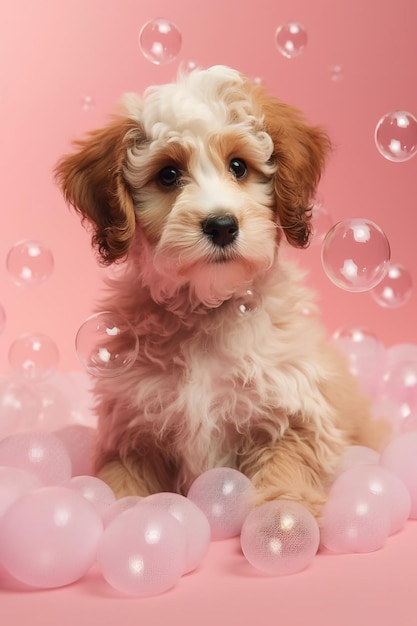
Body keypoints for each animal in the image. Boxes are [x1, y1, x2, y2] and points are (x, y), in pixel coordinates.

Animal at [56, 66, 386, 520]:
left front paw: (282, 518)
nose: (222, 225)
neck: (206, 310)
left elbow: (287, 464)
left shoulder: (292, 409)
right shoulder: (132, 427)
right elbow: (121, 480)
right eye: (168, 175)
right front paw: (115, 509)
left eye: (239, 167)